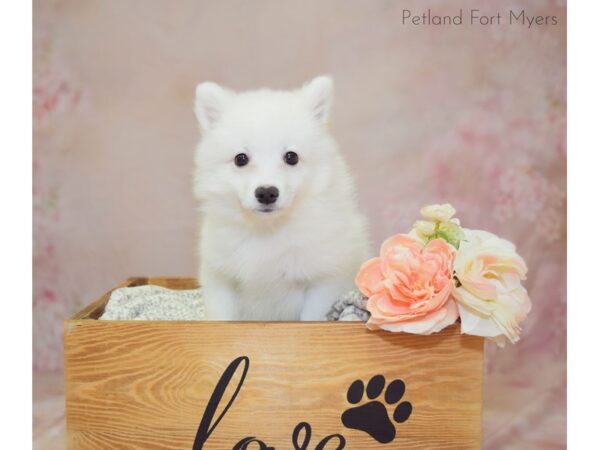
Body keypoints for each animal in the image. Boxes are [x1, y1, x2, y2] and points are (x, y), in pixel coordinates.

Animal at [192, 76, 370, 320]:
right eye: (241, 159)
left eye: (291, 157)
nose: (267, 192)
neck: (269, 231)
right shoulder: (220, 277)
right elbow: (223, 317)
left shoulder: (323, 281)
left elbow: (311, 318)